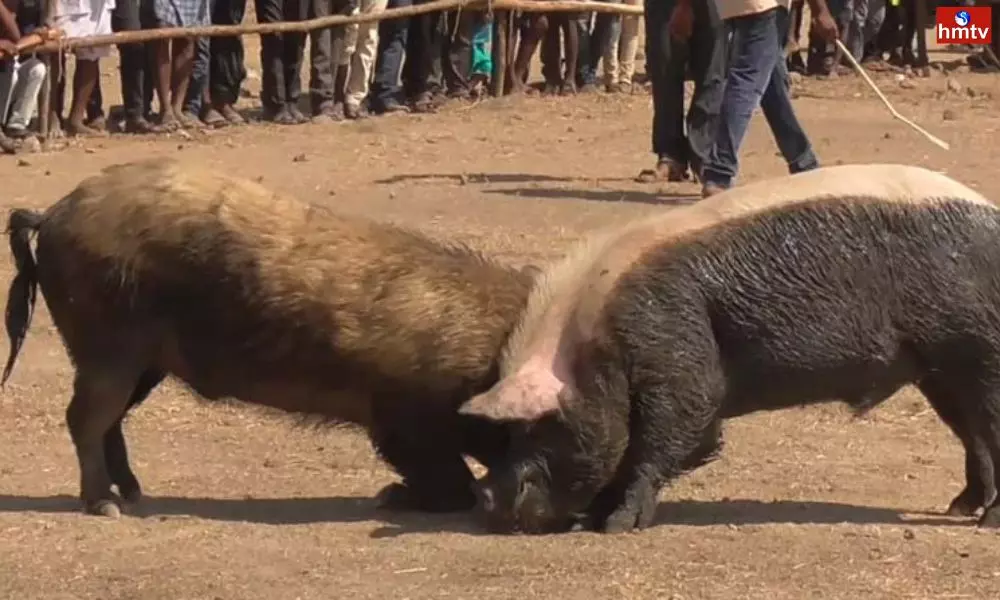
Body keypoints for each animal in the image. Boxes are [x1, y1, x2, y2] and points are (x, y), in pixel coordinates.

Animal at [2, 158, 538, 518]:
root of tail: (51, 214)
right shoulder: (401, 417)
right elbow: (446, 478)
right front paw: (391, 496)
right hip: (107, 348)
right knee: (85, 418)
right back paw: (106, 506)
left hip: (142, 363)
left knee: (110, 421)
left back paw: (135, 493)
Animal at [459, 166, 998, 535]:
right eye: (505, 435)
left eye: (540, 427)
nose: (485, 499)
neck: (592, 345)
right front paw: (593, 519)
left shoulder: (677, 349)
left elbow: (675, 433)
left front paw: (615, 526)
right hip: (938, 368)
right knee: (971, 432)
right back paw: (960, 506)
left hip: (976, 346)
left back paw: (985, 523)